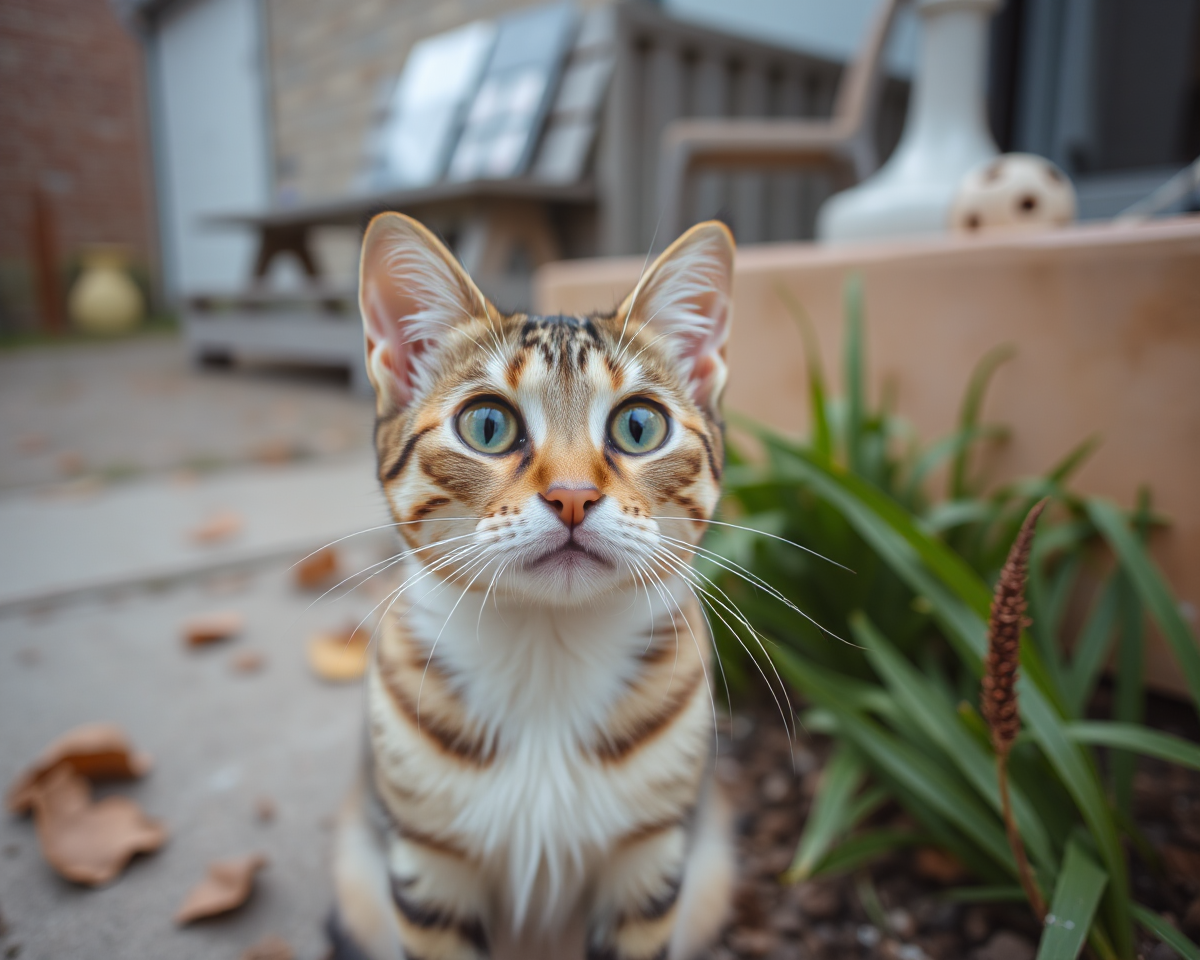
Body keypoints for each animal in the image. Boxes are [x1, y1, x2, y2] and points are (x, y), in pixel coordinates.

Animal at [333, 212, 734, 960]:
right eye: (488, 425)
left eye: (640, 425)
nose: (572, 495)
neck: (548, 656)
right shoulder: (429, 866)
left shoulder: (648, 860)